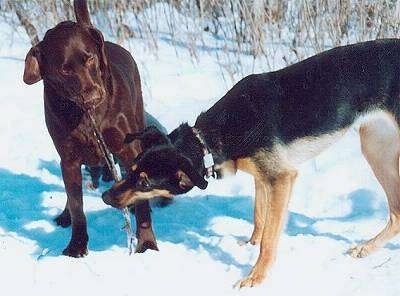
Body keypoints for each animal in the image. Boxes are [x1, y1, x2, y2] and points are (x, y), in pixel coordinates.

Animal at [22, 0, 158, 256]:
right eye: (65, 70)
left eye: (90, 59)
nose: (94, 96)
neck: (85, 115)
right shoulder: (69, 159)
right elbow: (77, 207)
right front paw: (76, 246)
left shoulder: (129, 151)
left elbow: (142, 204)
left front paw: (146, 244)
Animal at [101, 39, 400, 286]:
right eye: (131, 170)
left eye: (145, 182)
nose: (104, 197)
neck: (210, 139)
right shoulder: (262, 178)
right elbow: (259, 219)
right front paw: (249, 245)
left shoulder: (281, 178)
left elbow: (269, 238)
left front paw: (256, 276)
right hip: (376, 149)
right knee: (396, 213)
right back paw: (366, 249)